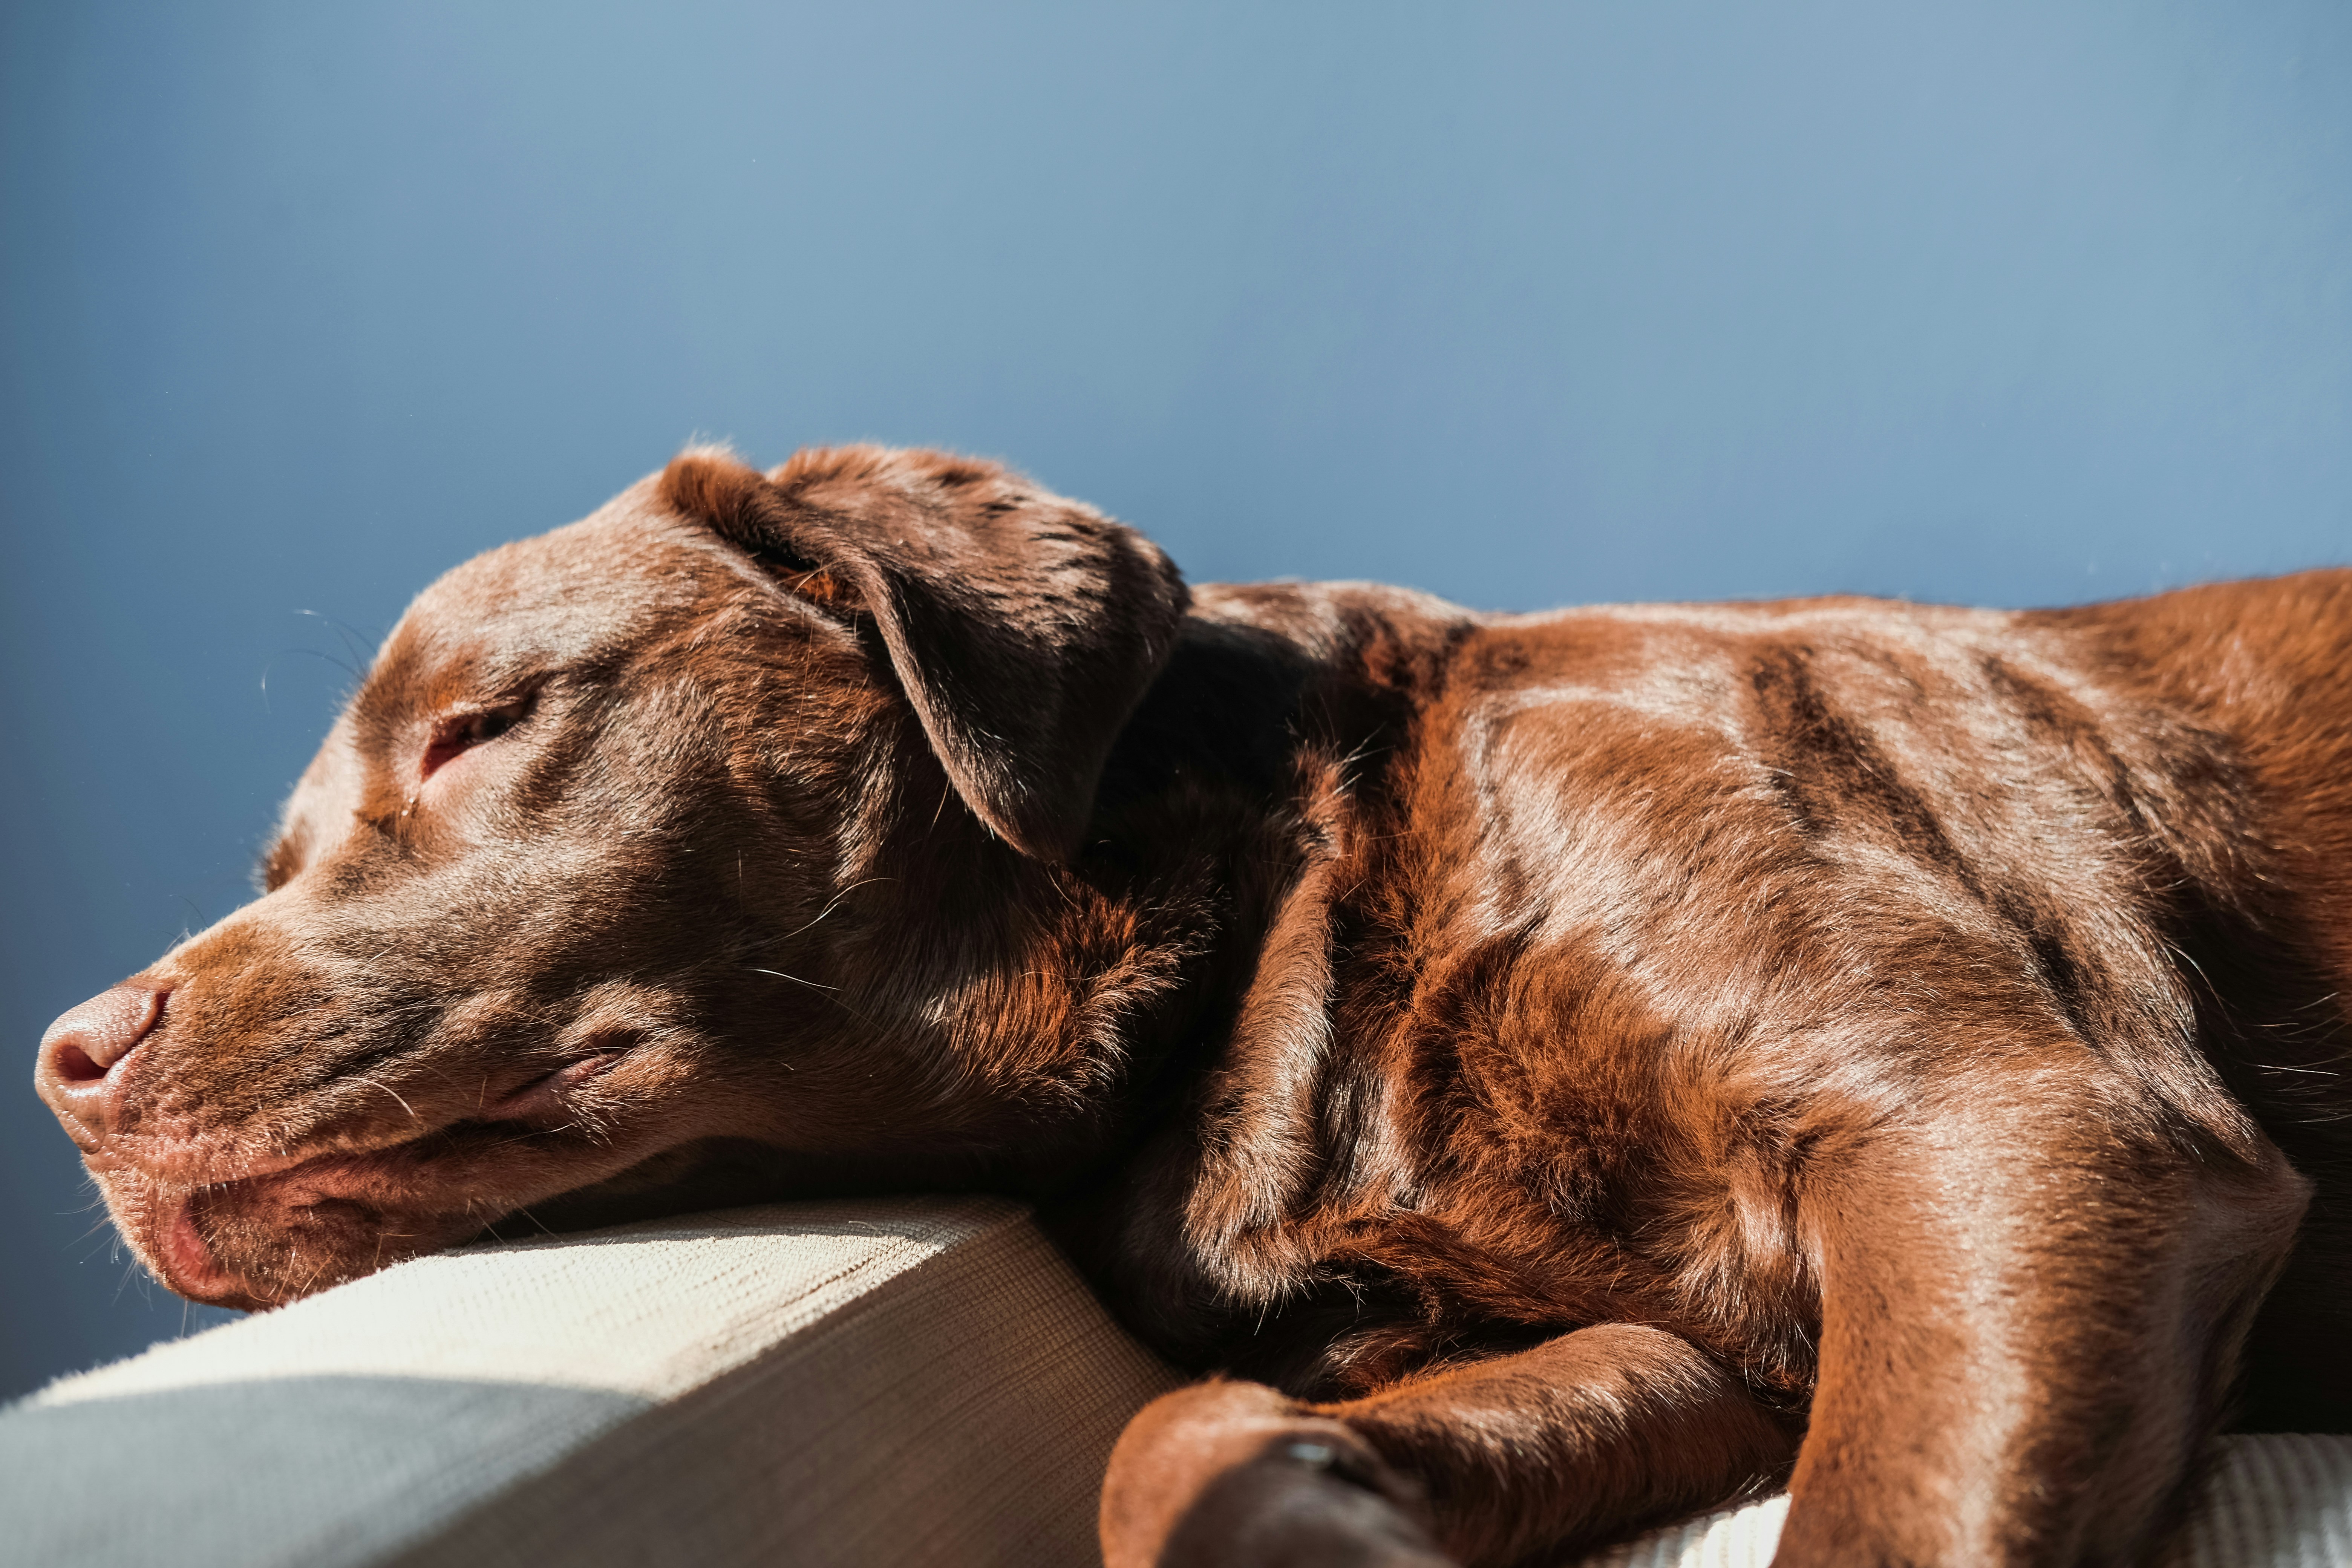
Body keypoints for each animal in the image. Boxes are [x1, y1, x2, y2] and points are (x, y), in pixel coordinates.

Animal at [37, 444, 2352, 1568]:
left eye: (484, 725)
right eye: (275, 854)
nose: (65, 1061)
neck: (1280, 917)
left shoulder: (2006, 1131)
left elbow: (1881, 1520)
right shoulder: (1714, 1337)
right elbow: (1177, 1444)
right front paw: (1317, 1505)